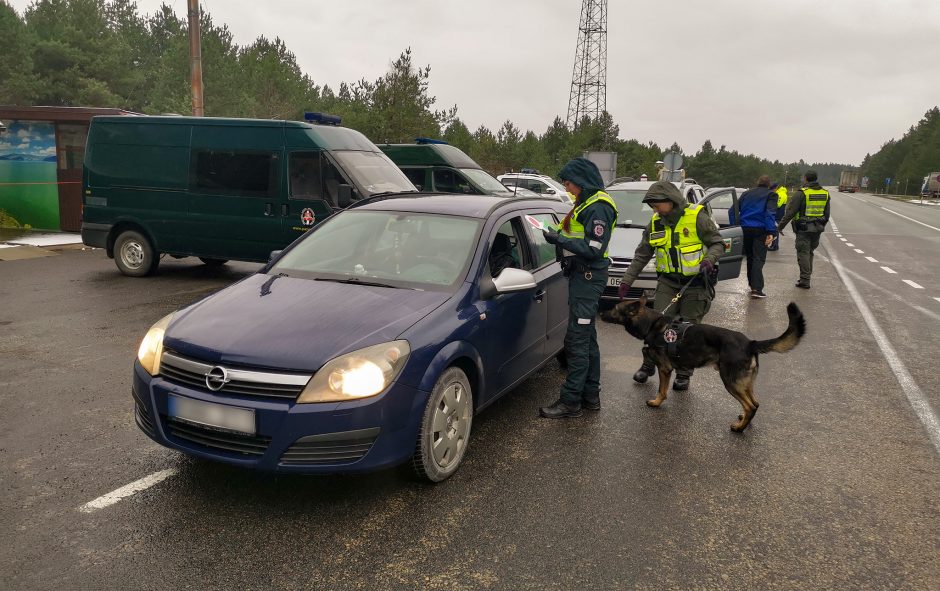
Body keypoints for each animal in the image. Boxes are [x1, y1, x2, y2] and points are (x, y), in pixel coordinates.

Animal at [604, 298, 808, 432]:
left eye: (614, 308)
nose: (600, 312)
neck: (652, 324)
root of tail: (751, 343)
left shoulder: (665, 369)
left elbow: (662, 390)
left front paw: (655, 402)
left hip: (730, 382)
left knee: (751, 406)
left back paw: (739, 428)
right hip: (744, 382)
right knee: (755, 403)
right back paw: (744, 420)